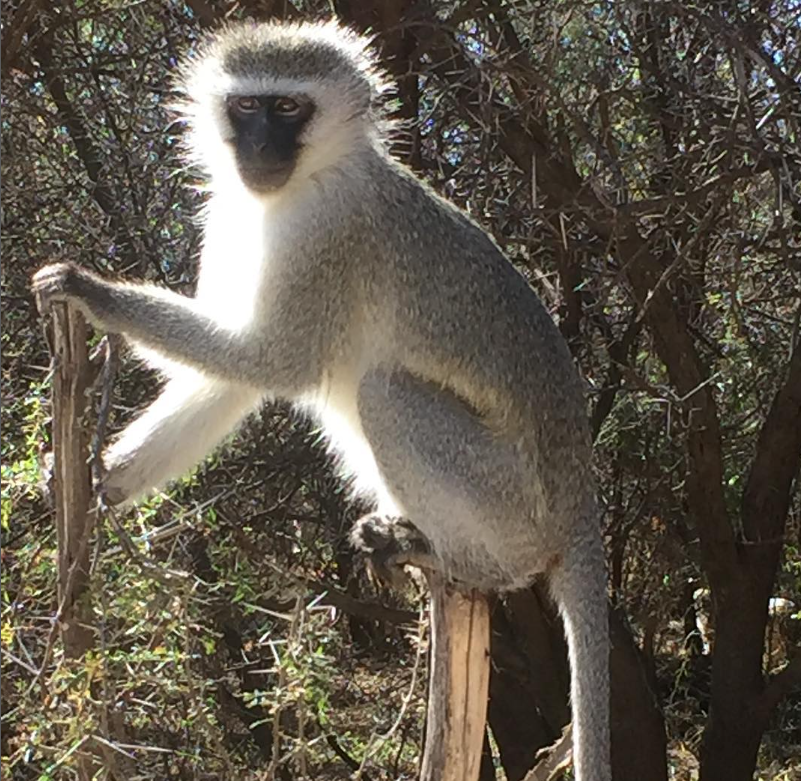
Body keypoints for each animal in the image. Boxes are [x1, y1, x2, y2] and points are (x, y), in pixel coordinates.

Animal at [29, 19, 608, 780]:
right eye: (247, 107)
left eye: (289, 108)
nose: (259, 149)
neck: (295, 188)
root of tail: (578, 501)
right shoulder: (229, 214)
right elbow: (234, 379)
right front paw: (104, 479)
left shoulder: (329, 232)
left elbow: (274, 360)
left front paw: (92, 294)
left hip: (511, 503)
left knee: (385, 394)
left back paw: (460, 561)